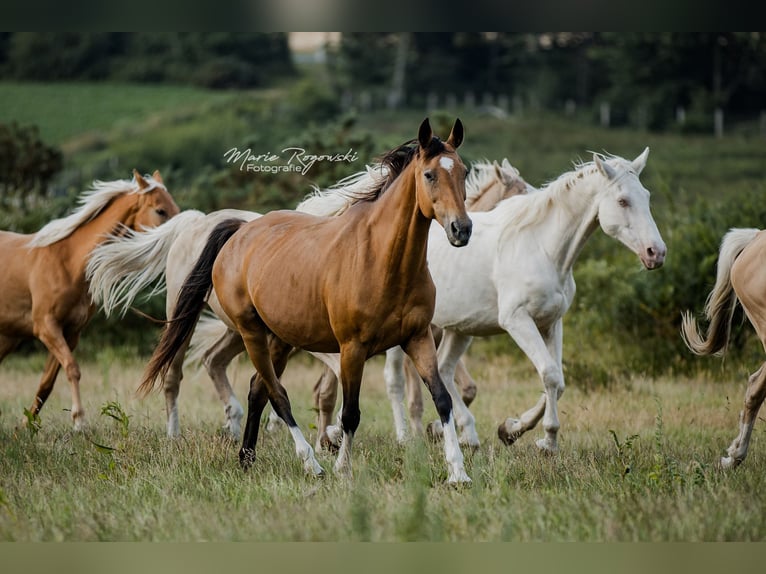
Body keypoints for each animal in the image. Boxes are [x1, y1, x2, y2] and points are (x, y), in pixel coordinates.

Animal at [0, 170, 179, 429]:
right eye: (160, 210)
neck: (68, 262)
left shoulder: (71, 332)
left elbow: (47, 382)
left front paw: (26, 425)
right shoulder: (46, 327)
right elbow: (72, 369)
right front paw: (79, 421)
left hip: (8, 338)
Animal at [87, 157, 526, 443]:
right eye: (518, 194)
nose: (462, 229)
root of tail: (195, 221)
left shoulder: (416, 334)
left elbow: (446, 388)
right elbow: (360, 390)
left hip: (237, 330)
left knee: (215, 362)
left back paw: (236, 426)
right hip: (187, 319)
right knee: (174, 375)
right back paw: (177, 435)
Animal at [140, 118, 475, 483]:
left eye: (463, 172)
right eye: (429, 175)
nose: (461, 229)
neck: (383, 260)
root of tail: (239, 231)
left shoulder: (418, 337)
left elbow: (442, 399)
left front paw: (458, 472)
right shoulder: (352, 348)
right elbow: (350, 413)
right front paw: (343, 468)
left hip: (281, 339)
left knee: (258, 389)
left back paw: (247, 458)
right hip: (251, 333)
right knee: (277, 394)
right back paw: (310, 463)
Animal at [317, 148, 666, 454]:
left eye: (648, 197)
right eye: (622, 200)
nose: (656, 253)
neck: (543, 247)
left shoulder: (552, 322)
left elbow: (556, 379)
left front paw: (517, 431)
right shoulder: (517, 321)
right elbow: (550, 374)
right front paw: (543, 439)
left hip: (458, 329)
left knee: (443, 371)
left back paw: (462, 435)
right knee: (392, 380)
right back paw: (389, 437)